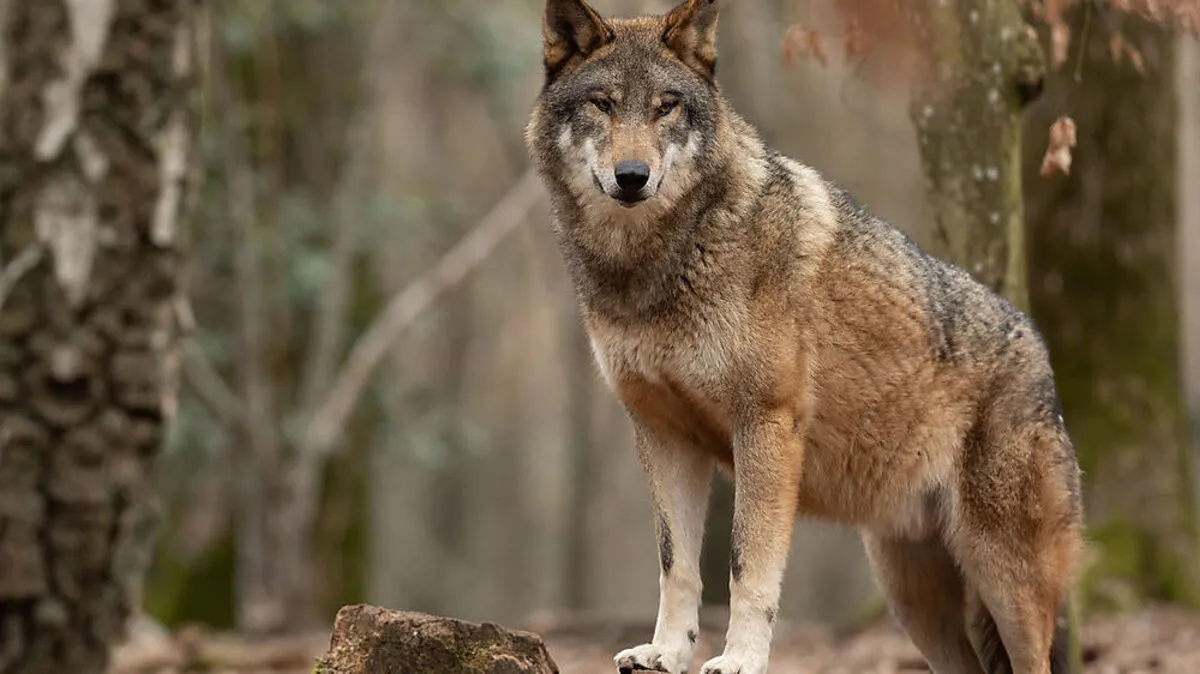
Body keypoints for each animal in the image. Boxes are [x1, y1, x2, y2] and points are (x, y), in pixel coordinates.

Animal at [523, 1, 1084, 672]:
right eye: (603, 104)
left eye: (666, 107)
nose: (632, 176)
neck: (655, 266)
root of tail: (1040, 350)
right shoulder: (662, 434)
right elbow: (675, 565)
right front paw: (667, 652)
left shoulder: (766, 424)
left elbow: (747, 566)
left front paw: (739, 659)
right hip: (911, 597)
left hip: (1003, 580)